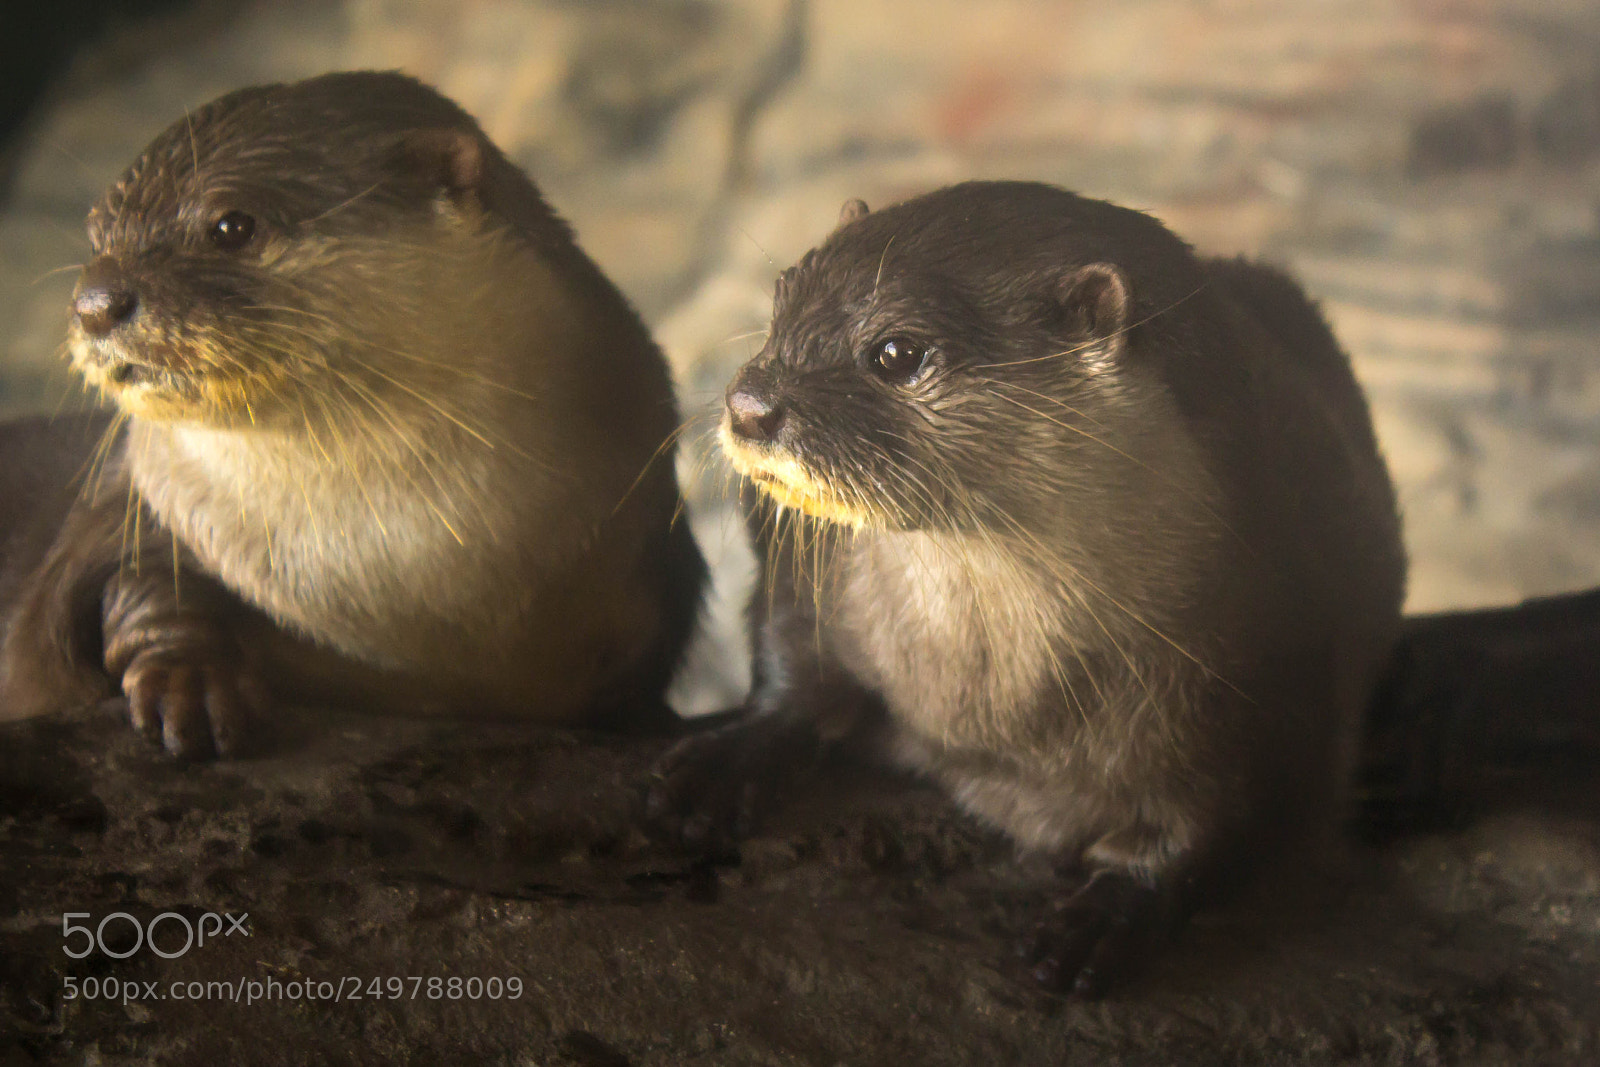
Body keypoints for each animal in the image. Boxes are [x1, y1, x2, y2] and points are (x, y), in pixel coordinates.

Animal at [0, 71, 705, 758]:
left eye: (232, 225)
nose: (95, 303)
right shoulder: (143, 514)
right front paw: (189, 683)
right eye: (96, 235)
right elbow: (145, 590)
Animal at [647, 182, 1408, 996]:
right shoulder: (809, 569)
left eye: (896, 353)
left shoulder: (1273, 680)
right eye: (782, 296)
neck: (992, 716)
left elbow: (1219, 830)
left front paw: (1108, 915)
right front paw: (724, 765)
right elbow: (790, 659)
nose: (749, 406)